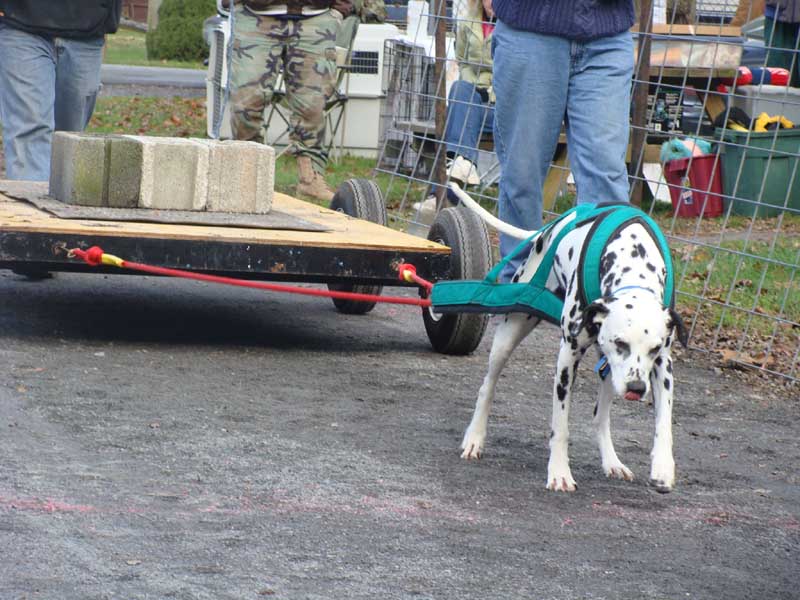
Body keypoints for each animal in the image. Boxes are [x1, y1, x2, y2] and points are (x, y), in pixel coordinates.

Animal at [450, 185, 688, 494]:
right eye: (620, 342)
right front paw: (560, 472)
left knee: (600, 416)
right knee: (487, 387)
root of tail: (549, 230)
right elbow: (560, 425)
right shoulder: (567, 357)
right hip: (509, 334)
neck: (632, 261)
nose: (636, 388)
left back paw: (612, 462)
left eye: (654, 349)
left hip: (609, 371)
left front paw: (662, 467)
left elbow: (663, 422)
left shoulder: (662, 366)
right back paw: (474, 438)